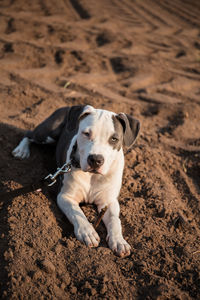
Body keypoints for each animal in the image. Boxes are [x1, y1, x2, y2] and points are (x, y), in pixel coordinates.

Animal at [12, 105, 140, 258]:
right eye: (86, 133)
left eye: (114, 139)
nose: (96, 159)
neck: (92, 176)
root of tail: (67, 106)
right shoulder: (65, 197)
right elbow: (76, 213)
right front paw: (88, 232)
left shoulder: (108, 201)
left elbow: (115, 220)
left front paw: (119, 241)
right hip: (47, 134)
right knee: (29, 134)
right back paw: (21, 150)